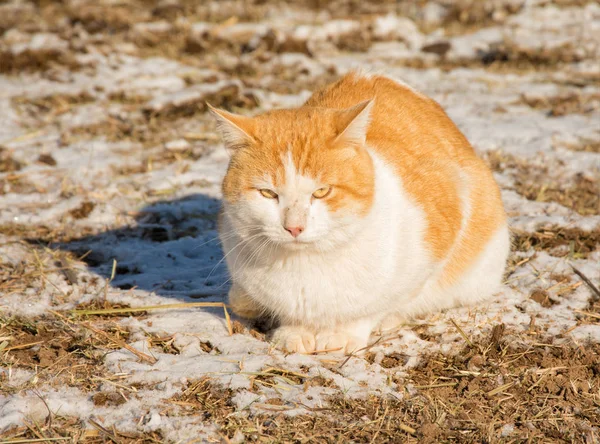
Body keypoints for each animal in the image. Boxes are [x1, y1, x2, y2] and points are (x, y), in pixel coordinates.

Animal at [209, 71, 508, 354]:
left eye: (321, 191)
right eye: (268, 194)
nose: (294, 227)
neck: (306, 265)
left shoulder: (448, 208)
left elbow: (376, 306)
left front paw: (344, 334)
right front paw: (294, 332)